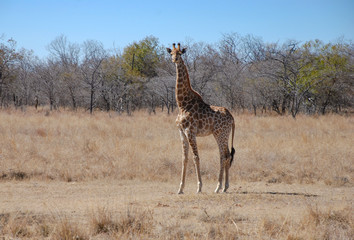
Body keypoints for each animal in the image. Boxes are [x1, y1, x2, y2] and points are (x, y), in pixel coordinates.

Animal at [166, 42, 235, 193]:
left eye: (180, 53)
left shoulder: (190, 132)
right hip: (223, 134)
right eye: (171, 53)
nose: (174, 60)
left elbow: (195, 157)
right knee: (226, 155)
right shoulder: (181, 132)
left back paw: (218, 187)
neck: (182, 104)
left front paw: (199, 187)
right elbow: (184, 158)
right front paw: (180, 189)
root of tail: (232, 118)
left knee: (224, 156)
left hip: (220, 134)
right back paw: (224, 187)